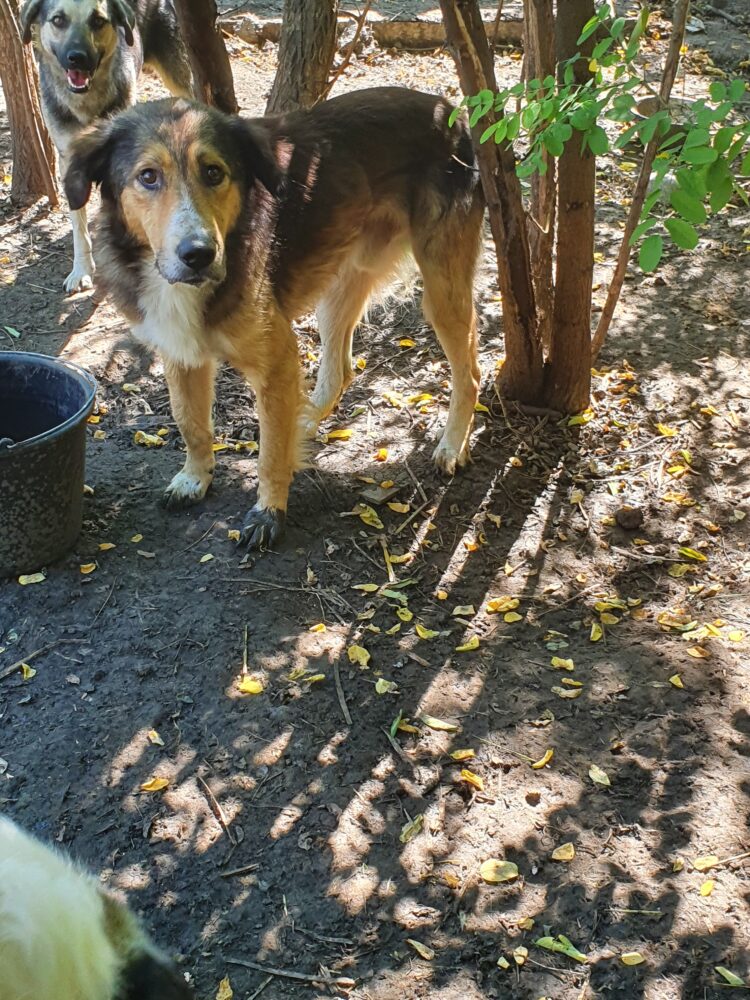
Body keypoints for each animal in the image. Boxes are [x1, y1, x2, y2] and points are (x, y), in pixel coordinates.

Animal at [20, 0, 192, 293]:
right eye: (58, 20)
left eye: (98, 21)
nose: (78, 57)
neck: (86, 101)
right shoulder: (68, 159)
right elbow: (78, 224)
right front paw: (81, 269)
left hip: (179, 76)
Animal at [63, 88, 484, 549]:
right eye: (148, 176)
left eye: (214, 172)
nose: (198, 255)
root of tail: (450, 111)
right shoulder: (181, 353)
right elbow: (190, 422)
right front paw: (195, 478)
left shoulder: (276, 358)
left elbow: (269, 454)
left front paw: (268, 513)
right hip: (339, 287)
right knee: (339, 371)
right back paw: (305, 420)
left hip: (440, 291)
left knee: (470, 373)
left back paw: (452, 445)